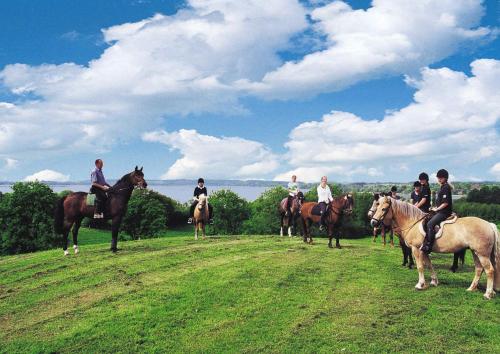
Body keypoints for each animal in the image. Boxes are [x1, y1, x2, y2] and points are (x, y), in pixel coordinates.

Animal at [370, 196, 498, 298]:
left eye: (384, 209)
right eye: (377, 206)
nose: (373, 222)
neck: (413, 222)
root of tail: (489, 224)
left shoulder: (416, 249)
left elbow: (420, 266)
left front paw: (420, 284)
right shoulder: (424, 250)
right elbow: (429, 265)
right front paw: (434, 281)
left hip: (482, 254)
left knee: (490, 270)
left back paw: (488, 294)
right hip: (475, 252)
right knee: (479, 269)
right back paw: (472, 288)